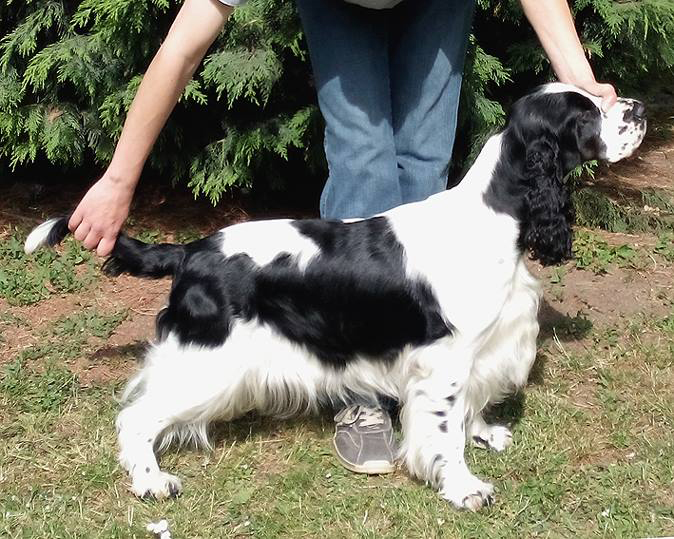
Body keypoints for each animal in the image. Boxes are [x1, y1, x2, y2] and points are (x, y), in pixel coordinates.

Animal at [26, 83, 644, 510]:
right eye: (583, 114)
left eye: (596, 97)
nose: (635, 109)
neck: (493, 212)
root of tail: (190, 251)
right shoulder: (445, 359)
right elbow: (444, 431)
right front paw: (465, 487)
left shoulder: (478, 350)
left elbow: (468, 410)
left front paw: (485, 434)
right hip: (209, 363)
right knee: (136, 417)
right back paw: (153, 481)